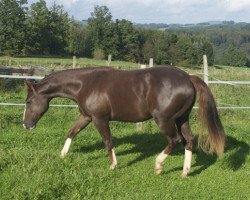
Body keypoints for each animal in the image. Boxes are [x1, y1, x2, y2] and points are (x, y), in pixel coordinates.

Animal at [23, 66, 225, 177]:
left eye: (29, 102)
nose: (26, 125)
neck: (87, 84)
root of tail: (189, 78)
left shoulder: (99, 119)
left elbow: (108, 141)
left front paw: (113, 165)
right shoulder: (86, 116)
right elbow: (72, 131)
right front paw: (63, 155)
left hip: (164, 120)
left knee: (175, 140)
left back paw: (158, 166)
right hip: (182, 119)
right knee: (189, 141)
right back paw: (185, 171)